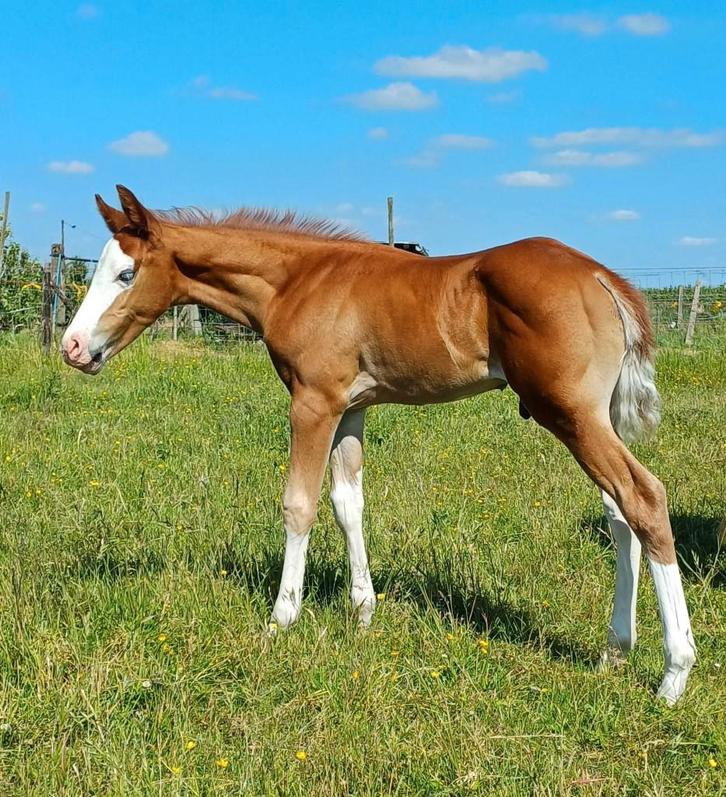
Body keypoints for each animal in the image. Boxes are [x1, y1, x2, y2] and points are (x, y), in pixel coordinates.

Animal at [61, 185, 696, 704]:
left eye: (126, 274)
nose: (71, 347)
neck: (297, 281)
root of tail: (601, 276)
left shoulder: (313, 403)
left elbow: (299, 504)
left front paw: (281, 618)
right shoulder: (352, 408)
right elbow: (348, 503)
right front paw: (363, 610)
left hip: (570, 414)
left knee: (645, 498)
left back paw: (674, 673)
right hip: (594, 417)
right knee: (619, 515)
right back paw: (614, 651)